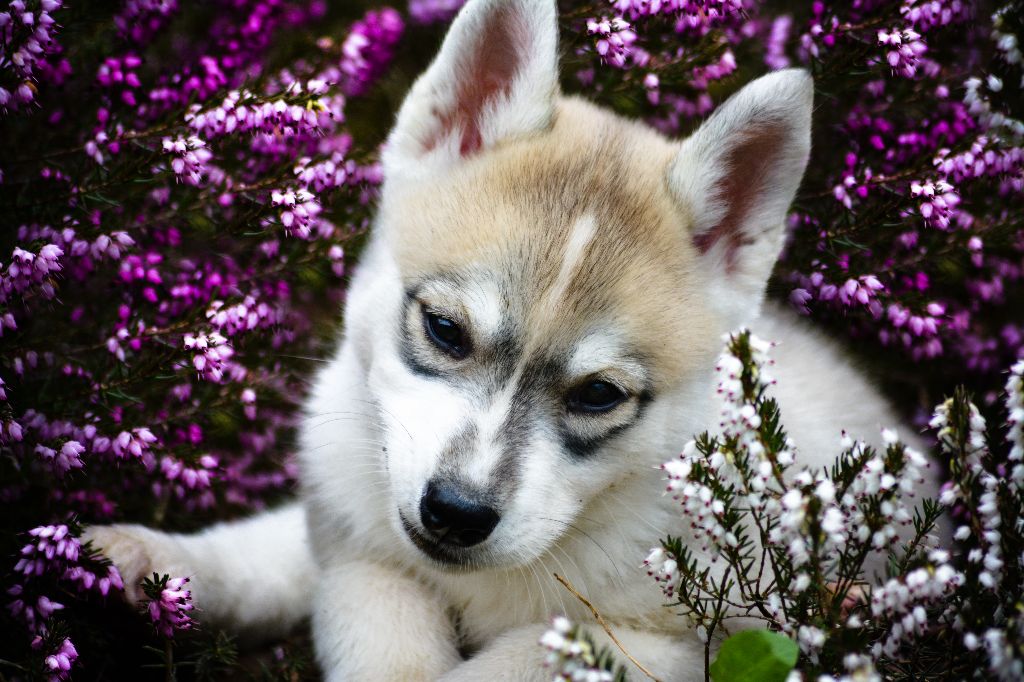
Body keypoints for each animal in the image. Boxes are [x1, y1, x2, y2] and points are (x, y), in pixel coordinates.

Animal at [84, 0, 927, 679]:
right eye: (445, 330)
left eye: (599, 394)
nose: (455, 515)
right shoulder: (363, 556)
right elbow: (348, 601)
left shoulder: (662, 642)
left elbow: (499, 664)